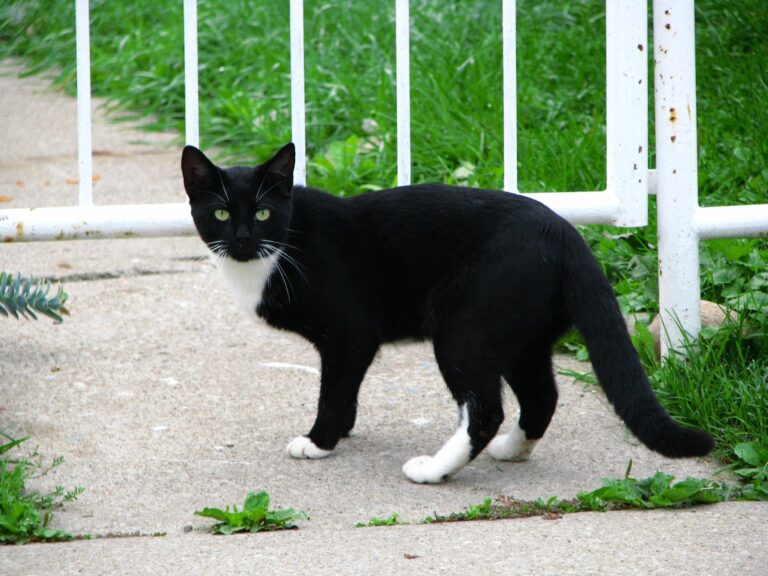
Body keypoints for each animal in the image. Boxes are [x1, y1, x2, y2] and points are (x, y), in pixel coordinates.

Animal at [182, 142, 712, 484]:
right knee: (541, 395)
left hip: (463, 327)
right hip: (521, 336)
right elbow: (345, 391)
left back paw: (433, 469)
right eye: (222, 214)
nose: (244, 238)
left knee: (486, 408)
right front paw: (342, 433)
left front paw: (319, 442)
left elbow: (334, 390)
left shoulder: (350, 333)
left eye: (264, 213)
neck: (277, 252)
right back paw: (511, 451)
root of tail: (565, 233)